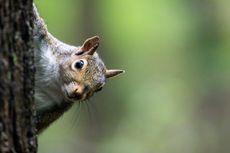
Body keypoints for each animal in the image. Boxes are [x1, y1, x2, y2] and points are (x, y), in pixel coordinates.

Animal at [32, 4, 124, 134]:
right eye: (79, 64)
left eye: (99, 88)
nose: (78, 94)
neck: (54, 81)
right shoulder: (42, 39)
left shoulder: (57, 108)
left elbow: (41, 123)